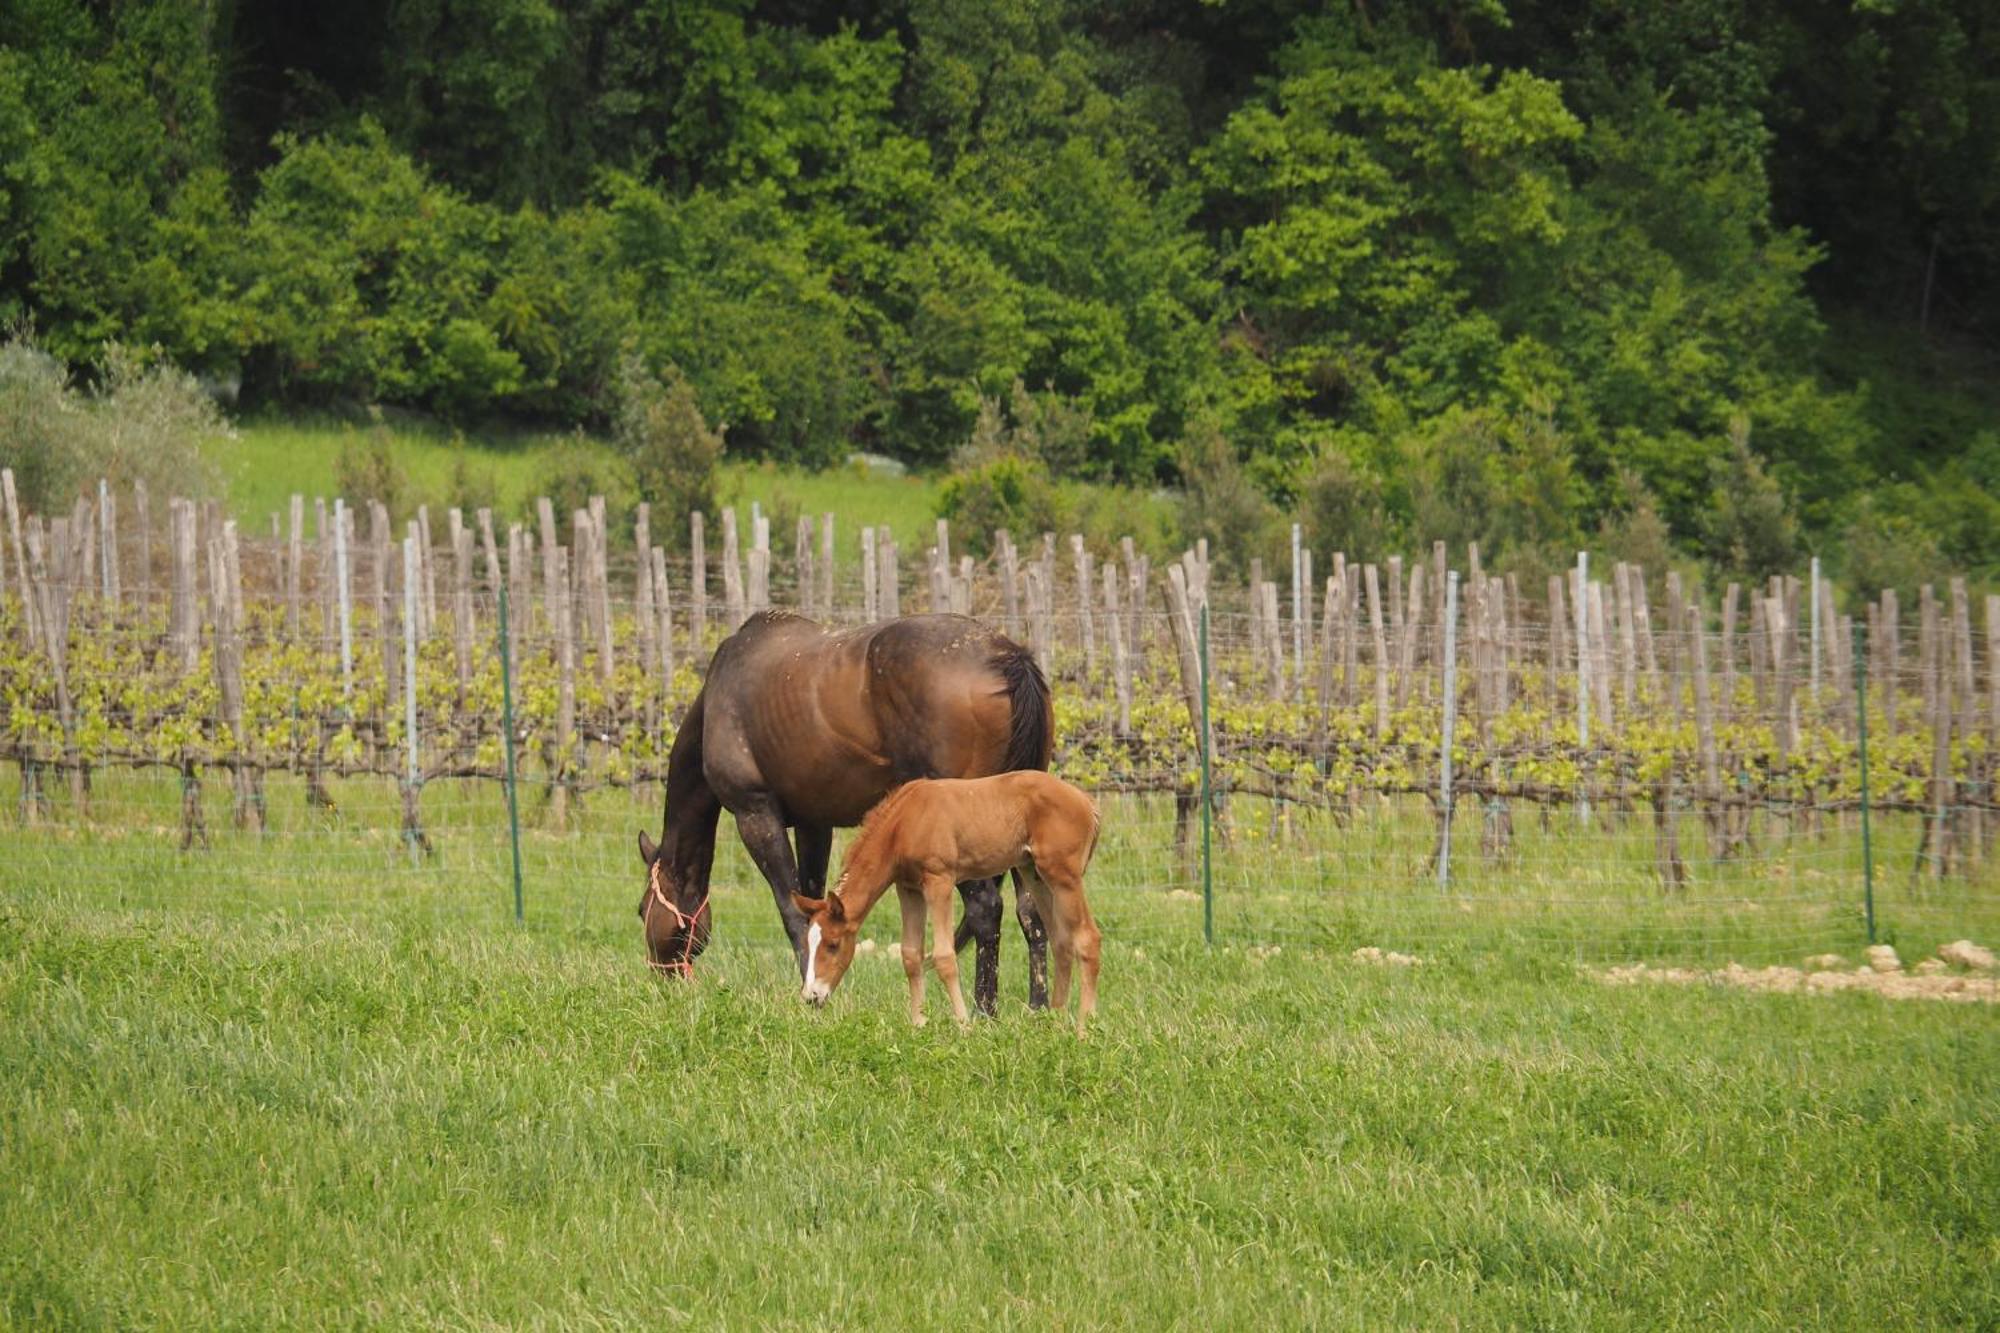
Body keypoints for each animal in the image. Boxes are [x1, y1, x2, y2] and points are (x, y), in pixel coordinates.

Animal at [640, 612, 1056, 1008]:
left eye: (642, 909)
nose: (662, 975)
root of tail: (1006, 656)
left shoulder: (755, 815)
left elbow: (790, 910)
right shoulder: (814, 824)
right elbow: (811, 901)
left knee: (986, 908)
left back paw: (986, 1009)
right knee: (1031, 910)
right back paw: (1038, 1008)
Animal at [788, 764, 1104, 1032]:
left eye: (833, 944)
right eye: (808, 943)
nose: (812, 996)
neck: (904, 821)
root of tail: (1086, 802)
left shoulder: (939, 880)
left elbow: (943, 955)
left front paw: (963, 1026)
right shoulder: (909, 888)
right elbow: (911, 954)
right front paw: (918, 1024)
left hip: (1064, 877)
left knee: (1088, 937)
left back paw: (1083, 1028)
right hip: (1034, 873)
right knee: (1062, 942)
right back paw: (1055, 1022)